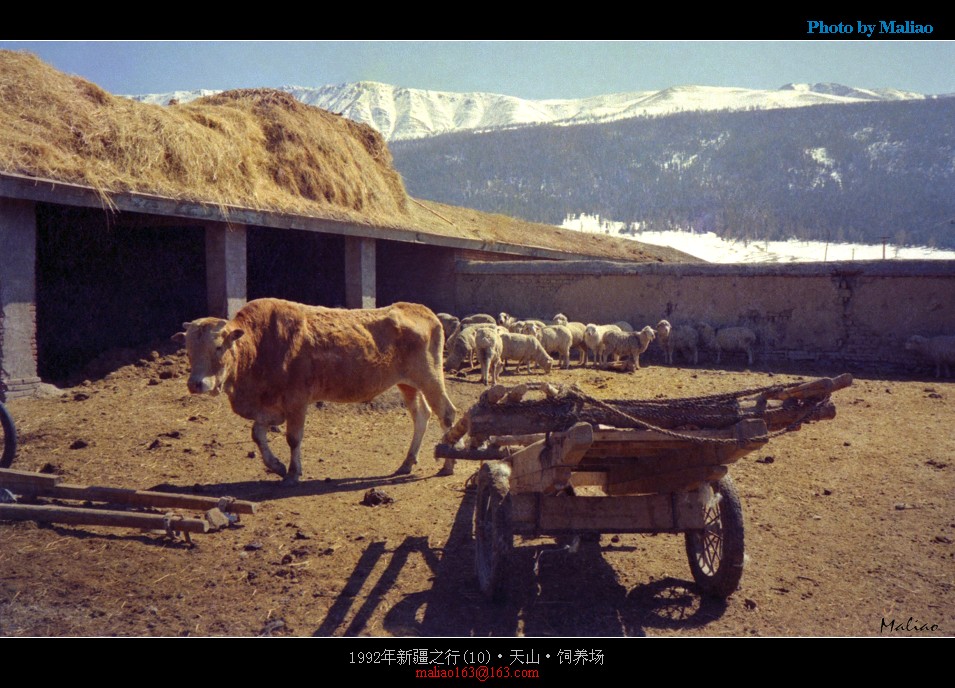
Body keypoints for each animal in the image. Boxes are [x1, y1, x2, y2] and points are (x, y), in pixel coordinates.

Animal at [175, 300, 460, 484]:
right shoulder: (272, 406)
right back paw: (407, 462)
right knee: (421, 415)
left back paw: (448, 464)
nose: (196, 383)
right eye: (188, 349)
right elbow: (257, 433)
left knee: (446, 413)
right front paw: (276, 466)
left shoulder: (296, 400)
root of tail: (421, 310)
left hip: (430, 377)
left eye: (218, 347)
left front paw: (292, 473)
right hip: (408, 383)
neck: (259, 344)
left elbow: (293, 438)